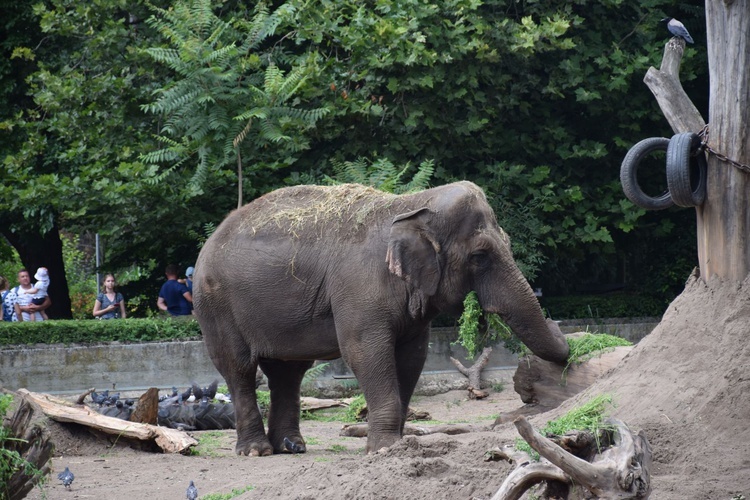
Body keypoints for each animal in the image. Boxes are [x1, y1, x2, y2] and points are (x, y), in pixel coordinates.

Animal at [194, 181, 568, 458]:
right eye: (480, 255)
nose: (560, 327)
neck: (412, 204)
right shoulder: (358, 287)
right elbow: (365, 352)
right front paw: (385, 449)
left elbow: (413, 357)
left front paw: (401, 446)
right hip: (215, 306)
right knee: (239, 368)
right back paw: (256, 451)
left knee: (287, 372)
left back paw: (292, 447)